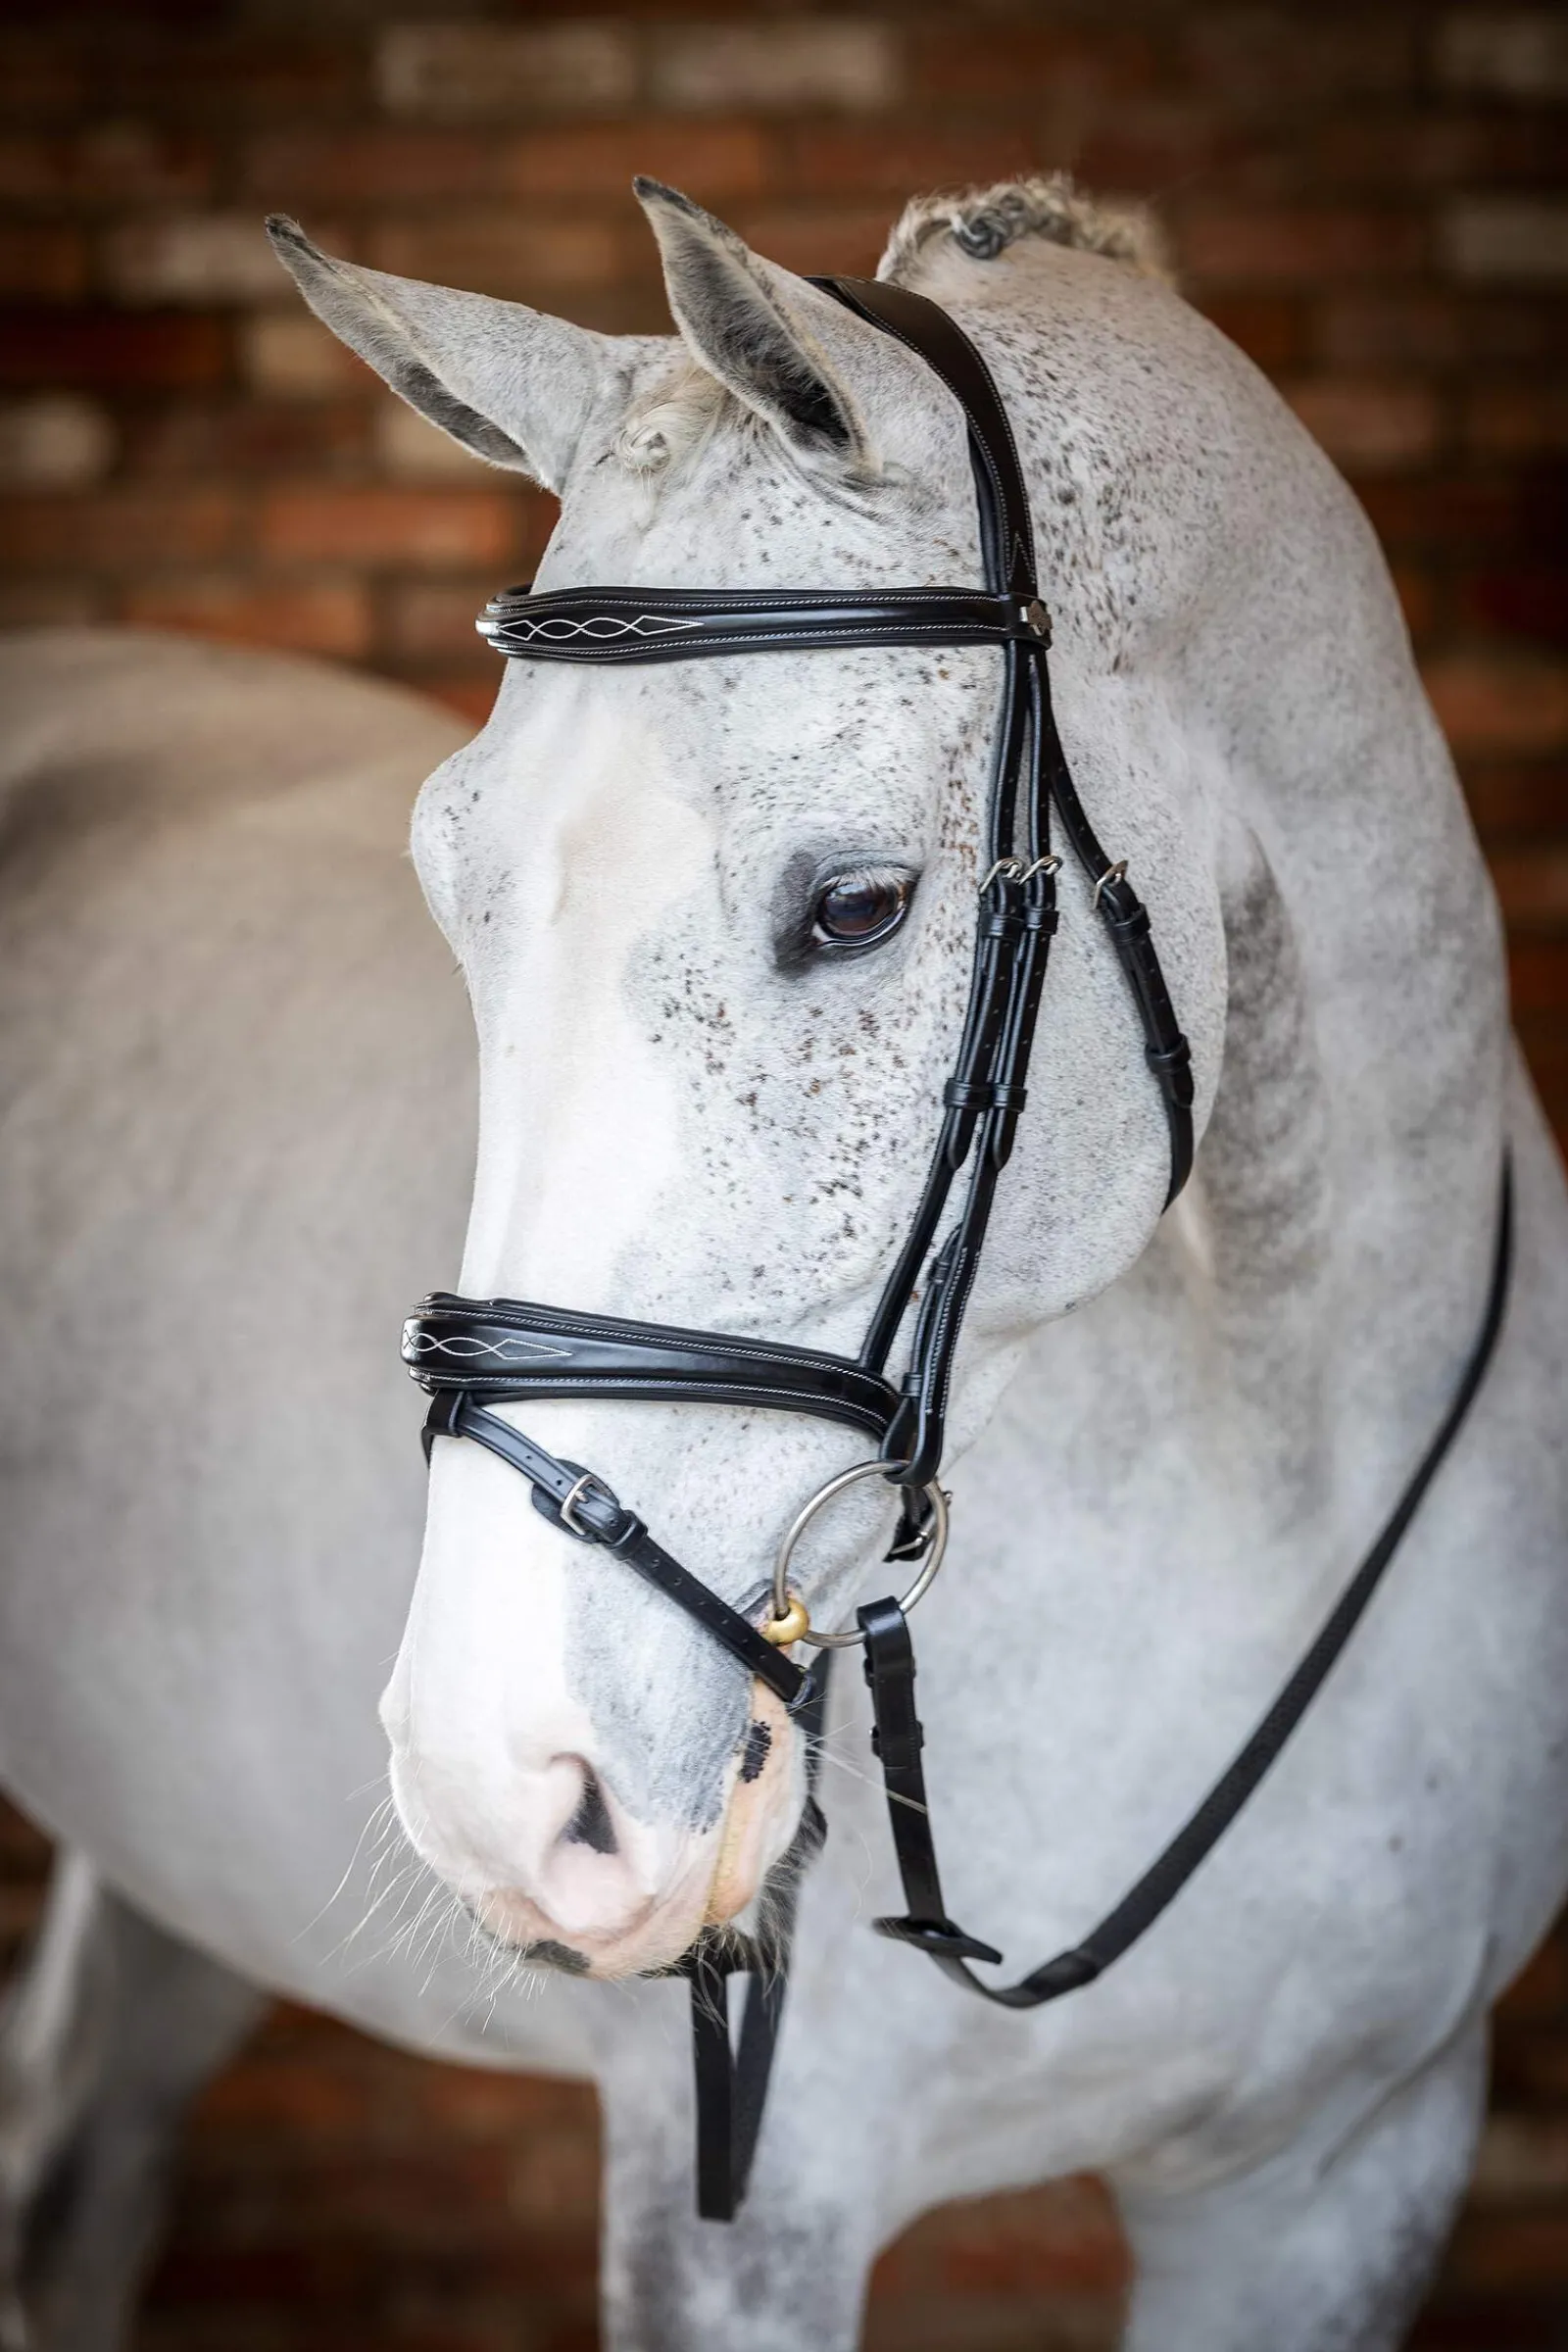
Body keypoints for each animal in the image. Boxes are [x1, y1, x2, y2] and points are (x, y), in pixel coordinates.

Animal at [1, 174, 1564, 2352]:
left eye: (858, 906)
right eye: (449, 887)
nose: (504, 1783)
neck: (1270, 1474)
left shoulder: (1342, 2178)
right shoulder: (739, 2218)